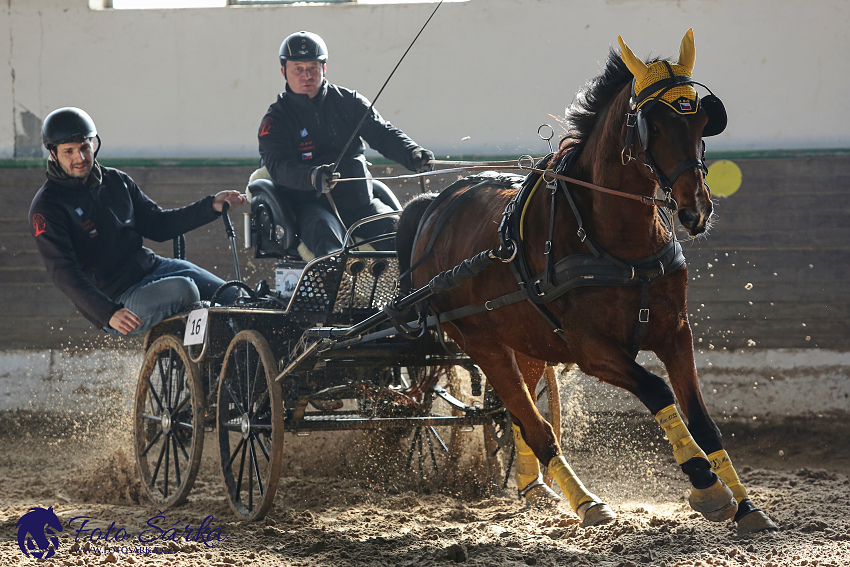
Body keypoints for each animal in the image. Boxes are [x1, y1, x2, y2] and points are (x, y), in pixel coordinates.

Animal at [396, 30, 776, 536]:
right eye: (653, 127)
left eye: (700, 122)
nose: (696, 209)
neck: (618, 244)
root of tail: (436, 206)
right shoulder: (592, 348)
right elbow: (658, 391)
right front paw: (707, 487)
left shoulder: (675, 332)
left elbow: (701, 418)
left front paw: (747, 506)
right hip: (481, 342)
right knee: (536, 427)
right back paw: (586, 501)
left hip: (525, 341)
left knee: (519, 418)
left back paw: (536, 490)